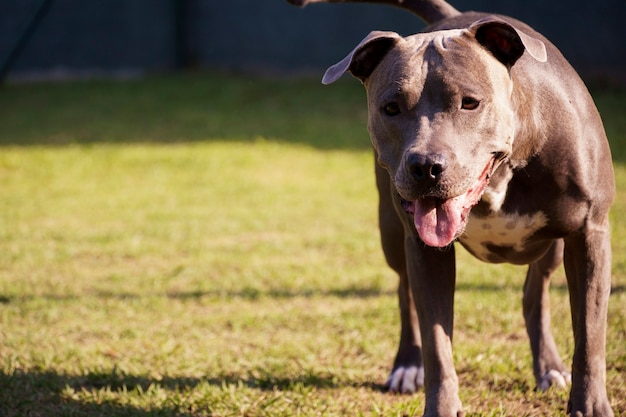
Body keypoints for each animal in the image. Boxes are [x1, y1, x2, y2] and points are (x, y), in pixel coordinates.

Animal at [286, 0, 612, 416]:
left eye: (470, 102)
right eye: (390, 108)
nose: (425, 167)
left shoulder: (589, 235)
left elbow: (590, 333)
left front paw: (590, 404)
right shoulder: (427, 252)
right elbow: (437, 343)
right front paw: (440, 403)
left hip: (554, 244)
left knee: (535, 291)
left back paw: (549, 367)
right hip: (392, 234)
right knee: (404, 292)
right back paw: (407, 365)